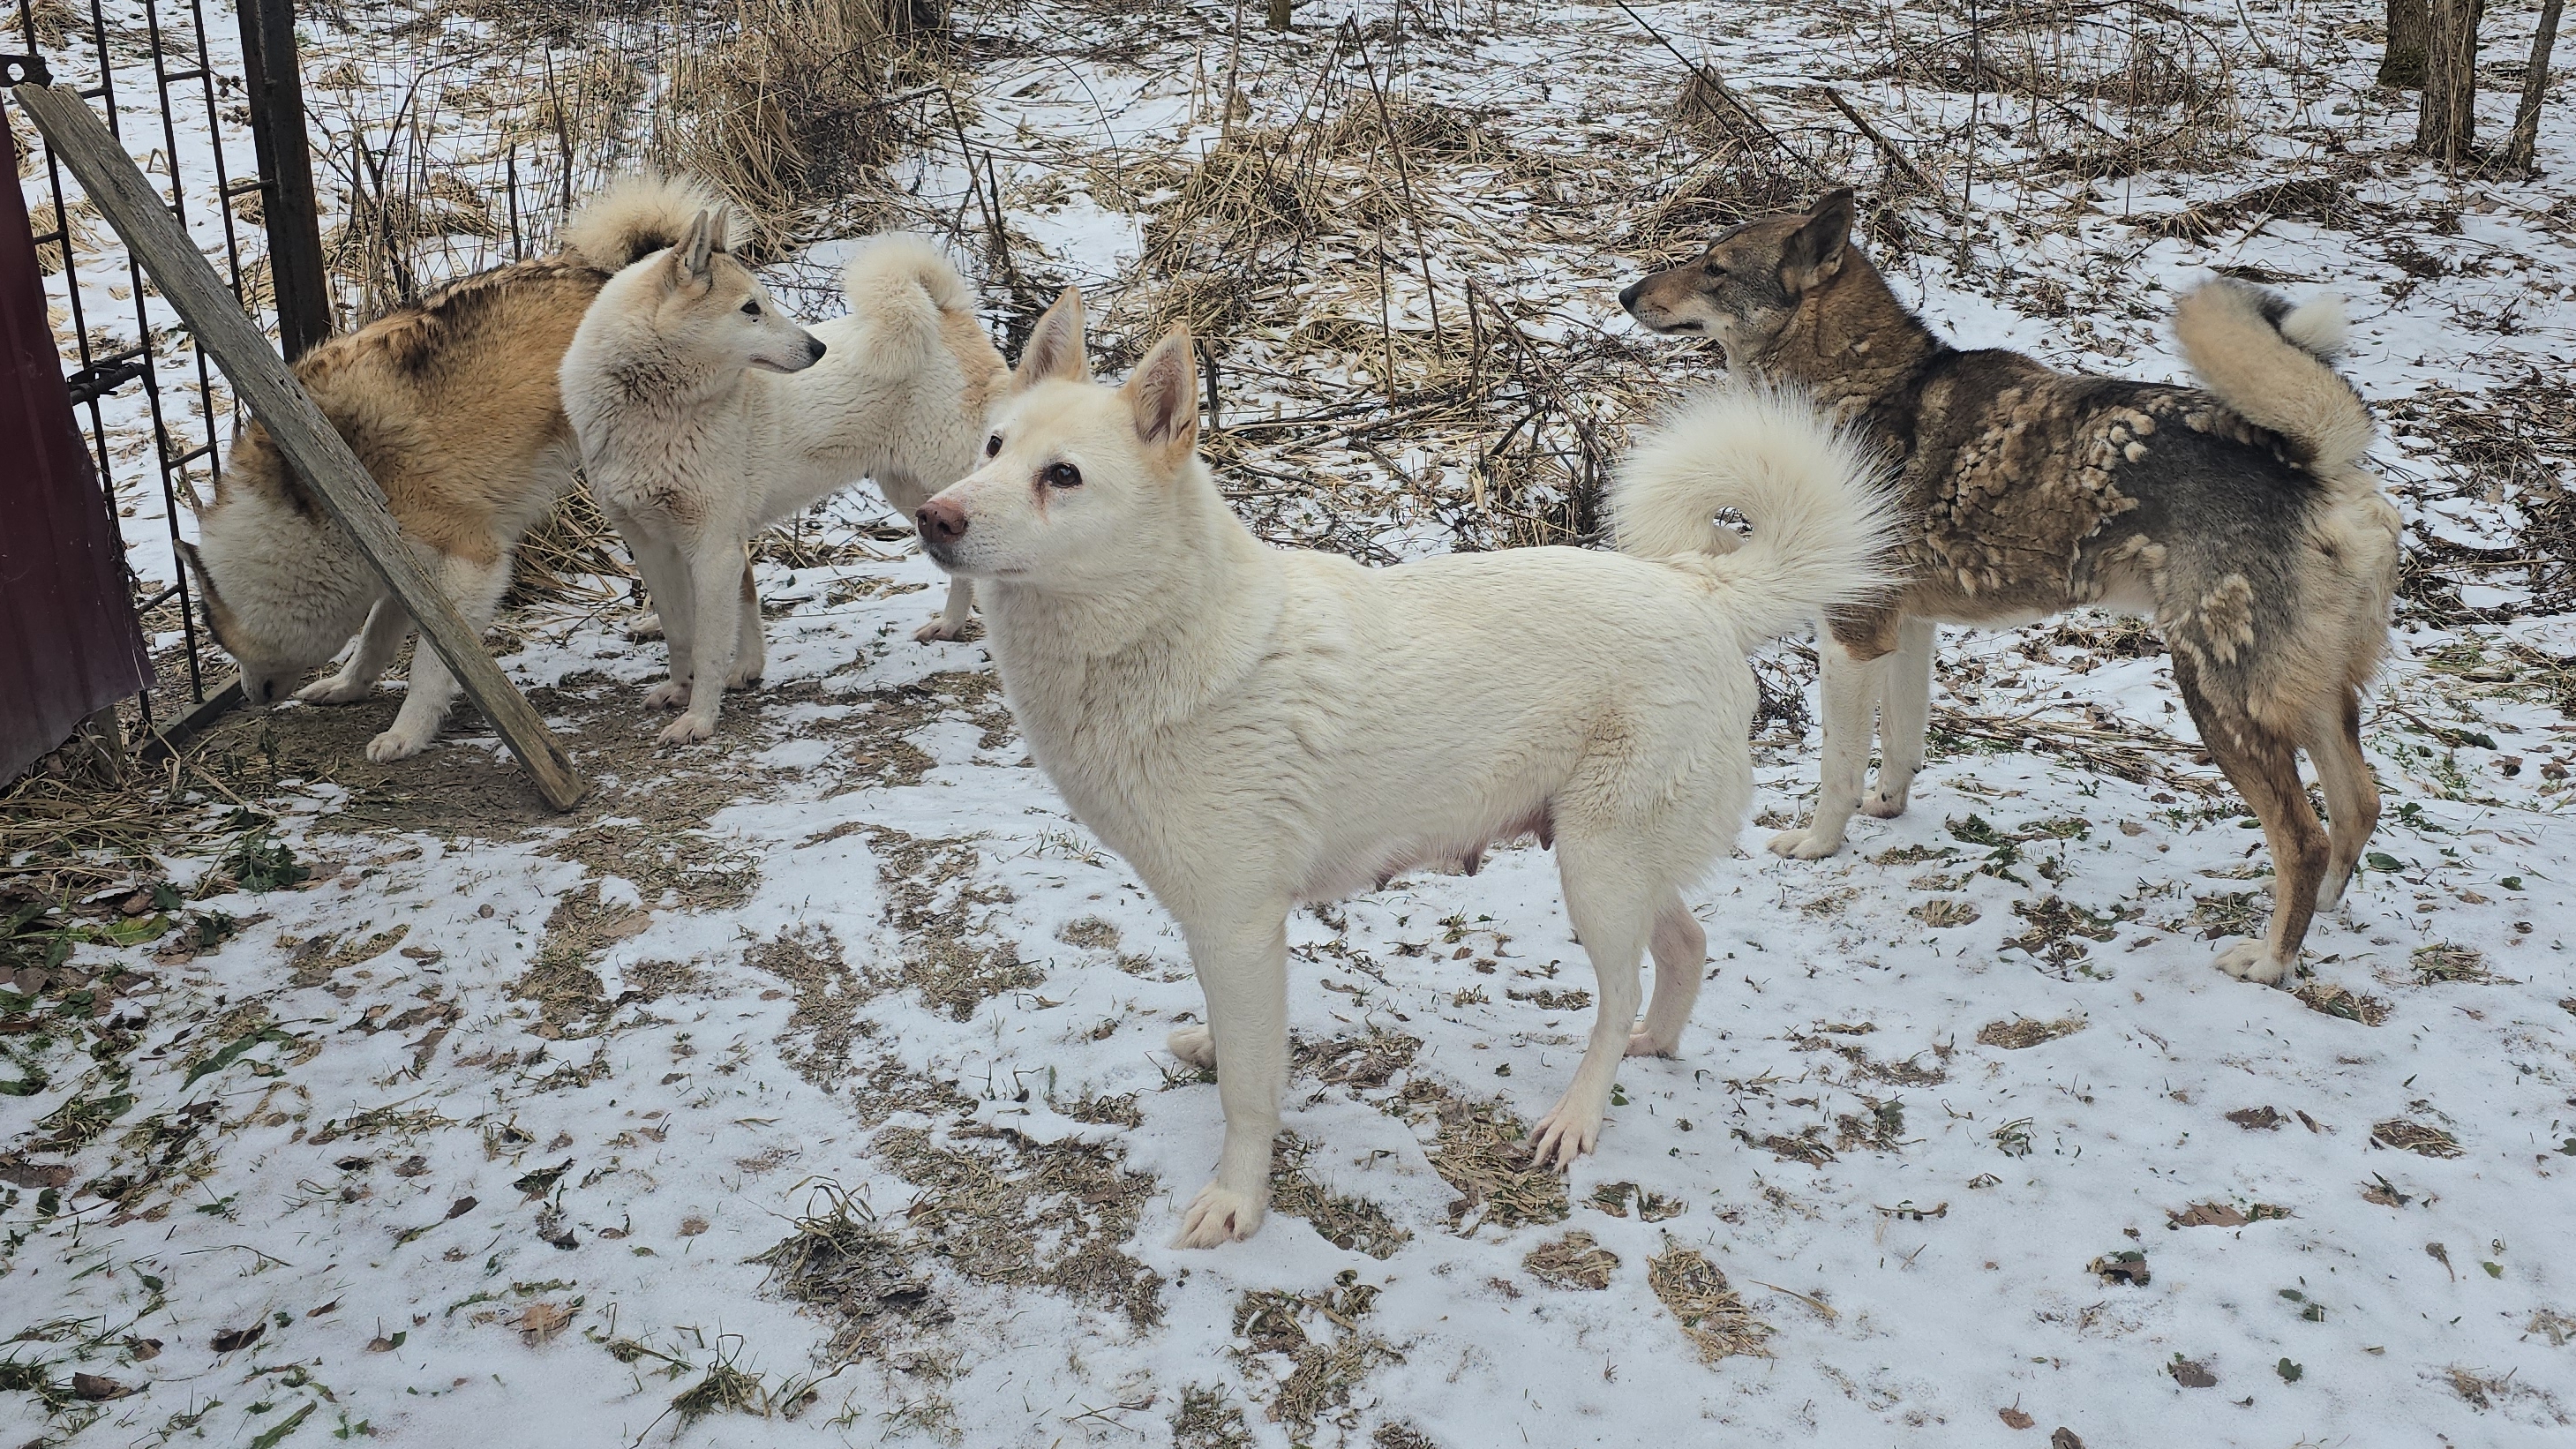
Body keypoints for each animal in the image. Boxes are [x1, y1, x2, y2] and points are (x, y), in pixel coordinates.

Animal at [564, 212, 1004, 746]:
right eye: (751, 309)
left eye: (765, 302)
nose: (818, 348)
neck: (657, 410)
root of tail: (947, 314)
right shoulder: (655, 547)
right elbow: (684, 631)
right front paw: (691, 687)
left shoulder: (712, 549)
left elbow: (710, 643)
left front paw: (699, 719)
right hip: (910, 493)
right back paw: (950, 628)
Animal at [912, 292, 1896, 1245]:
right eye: (993, 448)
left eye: (1063, 477)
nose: (934, 516)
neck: (1160, 629)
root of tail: (1702, 589)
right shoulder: (1220, 927)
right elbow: (1243, 1048)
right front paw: (1217, 1057)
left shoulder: (1237, 925)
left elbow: (1249, 1095)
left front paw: (1237, 1202)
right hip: (1617, 862)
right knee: (1686, 947)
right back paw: (1655, 1041)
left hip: (1597, 871)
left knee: (1616, 997)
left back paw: (1577, 1117)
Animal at [1618, 186, 2400, 987]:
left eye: (1713, 268)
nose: (1624, 294)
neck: (1858, 384)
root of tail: (2312, 466)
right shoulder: (1907, 632)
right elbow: (1899, 743)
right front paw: (1887, 809)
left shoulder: (1850, 639)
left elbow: (1836, 767)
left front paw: (1815, 845)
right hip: (2308, 694)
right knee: (2358, 804)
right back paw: (2322, 918)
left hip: (2220, 695)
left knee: (2303, 838)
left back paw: (2270, 960)